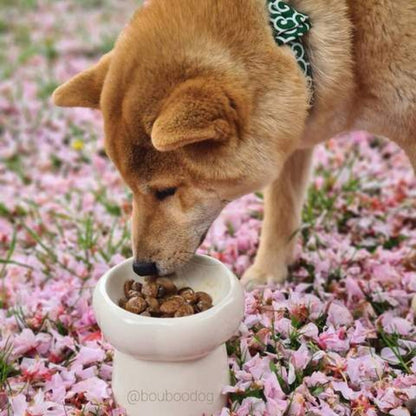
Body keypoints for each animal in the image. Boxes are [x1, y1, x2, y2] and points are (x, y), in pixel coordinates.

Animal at [52, 0, 416, 292]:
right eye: (130, 189)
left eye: (165, 191)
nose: (141, 267)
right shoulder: (292, 132)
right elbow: (281, 211)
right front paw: (268, 273)